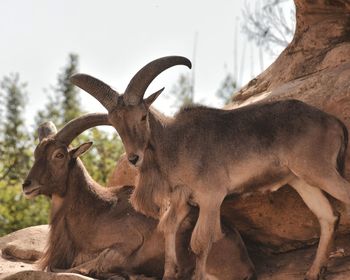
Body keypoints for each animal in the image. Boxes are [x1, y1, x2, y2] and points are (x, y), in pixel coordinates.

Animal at [22, 112, 258, 280]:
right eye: (36, 153)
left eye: (59, 155)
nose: (27, 185)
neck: (95, 209)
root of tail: (247, 264)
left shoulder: (128, 242)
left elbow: (84, 264)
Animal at [69, 55, 350, 278]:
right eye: (116, 124)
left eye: (142, 116)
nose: (134, 158)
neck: (175, 143)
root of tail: (334, 123)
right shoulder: (183, 200)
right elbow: (168, 228)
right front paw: (170, 273)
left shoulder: (211, 197)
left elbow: (200, 243)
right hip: (301, 180)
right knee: (328, 217)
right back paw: (313, 272)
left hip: (320, 171)